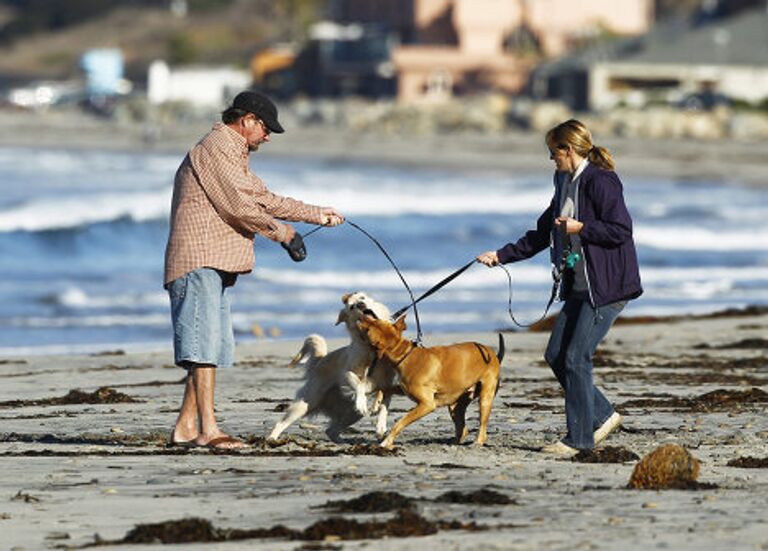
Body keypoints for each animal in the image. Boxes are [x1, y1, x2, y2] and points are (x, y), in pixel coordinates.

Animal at [268, 294, 396, 444]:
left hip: (351, 413)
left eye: (362, 297)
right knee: (281, 423)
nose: (360, 304)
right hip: (307, 402)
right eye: (351, 307)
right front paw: (362, 401)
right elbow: (359, 384)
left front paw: (381, 426)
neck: (372, 347)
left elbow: (384, 406)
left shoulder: (388, 384)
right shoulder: (346, 373)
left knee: (331, 430)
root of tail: (320, 360)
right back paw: (271, 439)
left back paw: (344, 442)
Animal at [358, 314, 504, 448]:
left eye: (370, 327)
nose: (362, 314)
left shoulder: (427, 404)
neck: (405, 354)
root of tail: (492, 354)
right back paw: (454, 442)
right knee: (462, 428)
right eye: (376, 320)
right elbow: (385, 389)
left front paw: (387, 441)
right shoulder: (403, 389)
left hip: (485, 398)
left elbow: (400, 422)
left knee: (482, 426)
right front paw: (376, 404)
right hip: (455, 406)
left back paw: (477, 442)